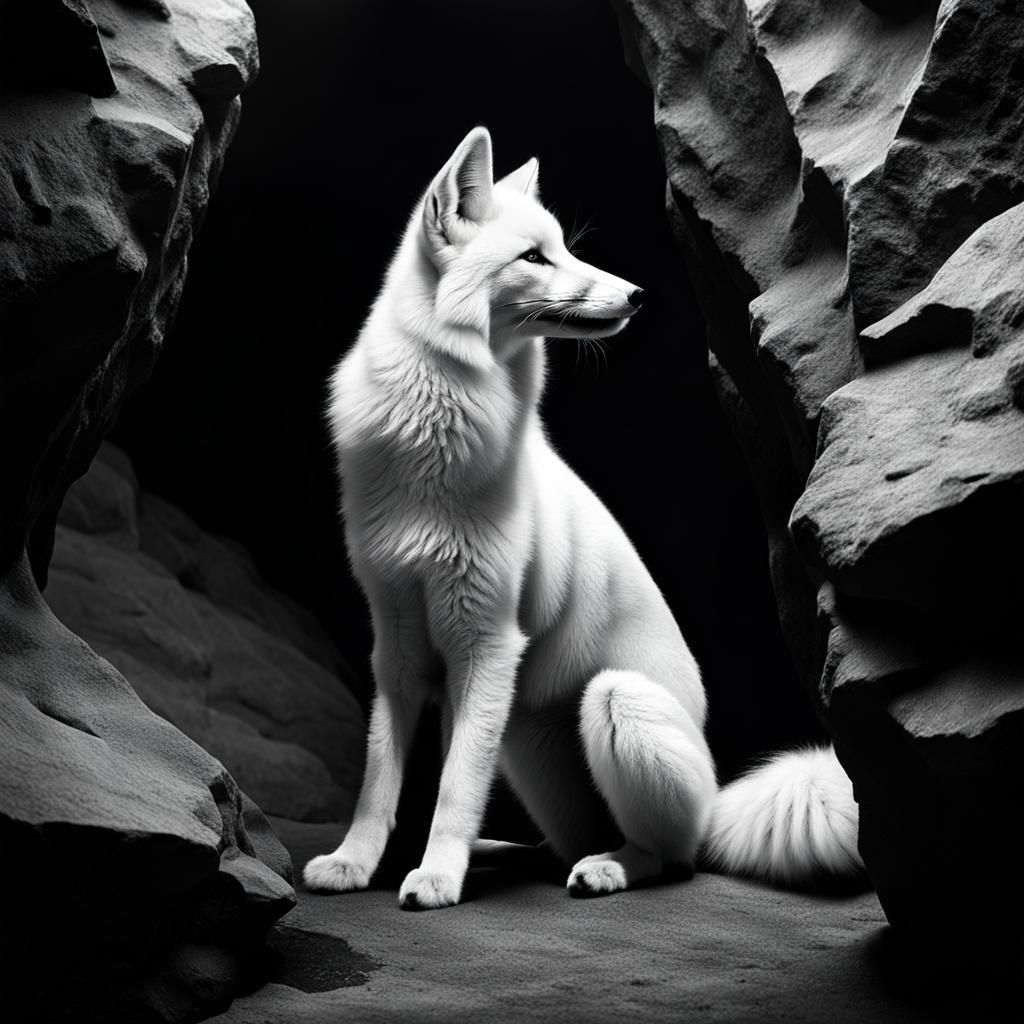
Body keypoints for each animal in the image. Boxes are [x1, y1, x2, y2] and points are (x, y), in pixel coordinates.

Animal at [303, 127, 862, 909]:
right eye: (534, 257)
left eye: (562, 248)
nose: (638, 293)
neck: (433, 440)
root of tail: (715, 799)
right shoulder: (398, 642)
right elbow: (381, 779)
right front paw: (355, 862)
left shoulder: (486, 640)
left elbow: (453, 789)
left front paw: (436, 877)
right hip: (523, 742)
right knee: (564, 837)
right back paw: (511, 851)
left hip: (612, 701)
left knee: (672, 856)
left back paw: (609, 866)